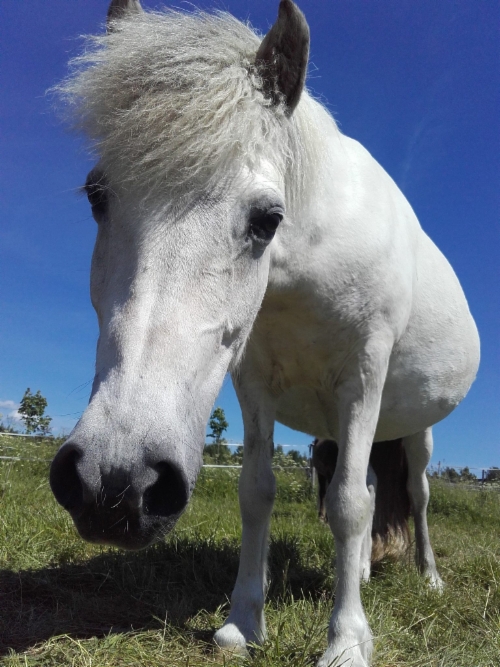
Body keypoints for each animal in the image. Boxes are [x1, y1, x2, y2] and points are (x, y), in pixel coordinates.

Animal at [50, 2, 480, 664]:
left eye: (267, 219)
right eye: (98, 195)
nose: (115, 484)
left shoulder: (363, 376)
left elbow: (348, 505)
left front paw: (347, 642)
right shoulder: (254, 385)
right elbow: (259, 493)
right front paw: (242, 622)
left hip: (414, 430)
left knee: (416, 493)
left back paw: (428, 577)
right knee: (370, 484)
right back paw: (358, 572)